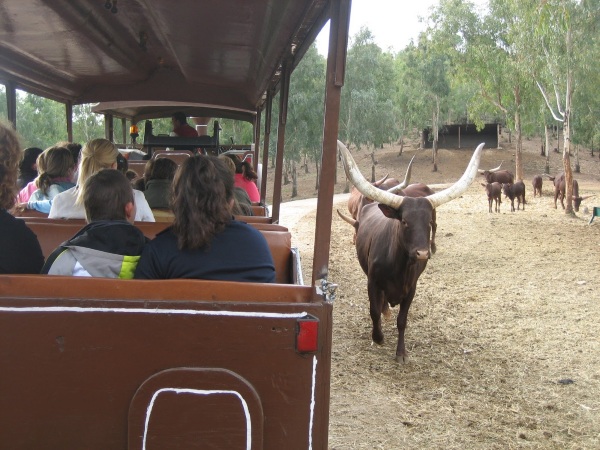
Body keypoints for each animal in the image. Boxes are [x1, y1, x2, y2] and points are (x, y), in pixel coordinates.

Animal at [338, 141, 482, 362]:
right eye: (404, 221)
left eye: (428, 221)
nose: (422, 253)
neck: (399, 266)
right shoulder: (372, 282)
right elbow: (374, 311)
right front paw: (378, 337)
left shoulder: (411, 289)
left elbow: (402, 320)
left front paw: (401, 353)